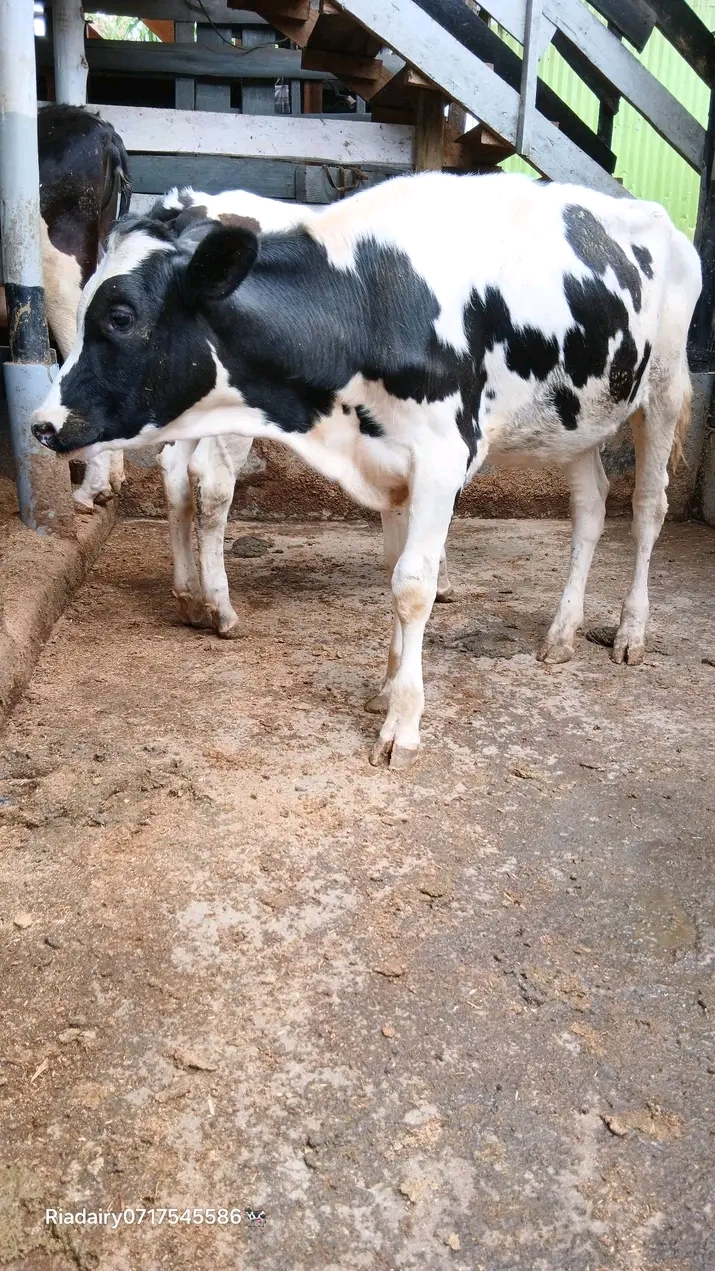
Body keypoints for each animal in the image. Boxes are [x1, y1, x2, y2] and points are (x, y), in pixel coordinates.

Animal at [31, 171, 701, 769]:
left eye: (120, 316)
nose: (41, 424)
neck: (371, 303)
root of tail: (656, 215)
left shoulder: (441, 456)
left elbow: (412, 586)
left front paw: (403, 722)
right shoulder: (393, 458)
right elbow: (396, 574)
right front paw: (388, 685)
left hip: (662, 388)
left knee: (647, 508)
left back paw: (630, 632)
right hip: (578, 415)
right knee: (590, 509)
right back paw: (561, 633)